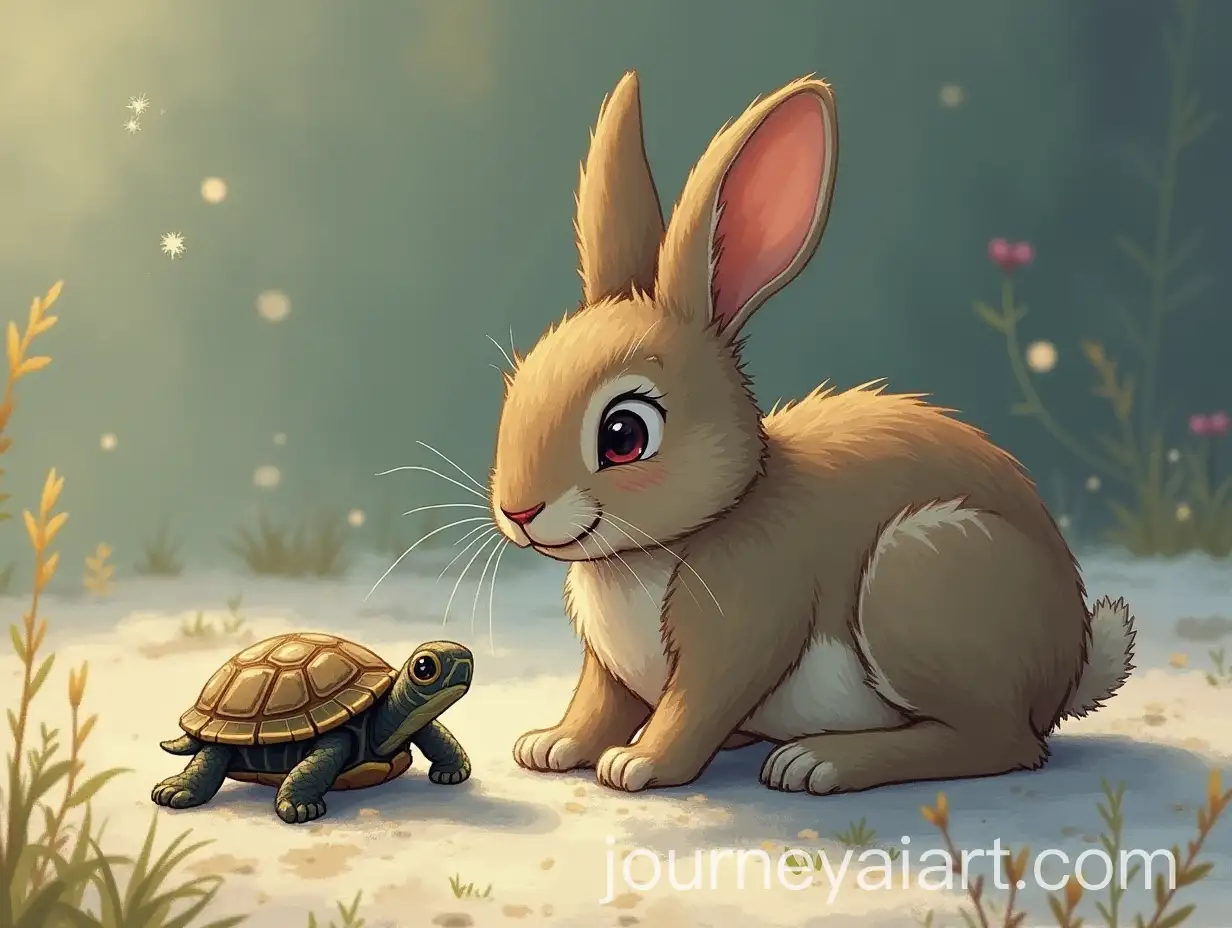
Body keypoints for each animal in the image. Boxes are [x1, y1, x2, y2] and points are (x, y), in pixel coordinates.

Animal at [488, 70, 1136, 796]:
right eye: (518, 386)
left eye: (624, 434)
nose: (518, 511)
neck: (669, 544)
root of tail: (1067, 666)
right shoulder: (607, 669)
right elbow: (597, 701)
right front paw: (552, 745)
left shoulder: (737, 636)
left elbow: (692, 710)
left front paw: (637, 764)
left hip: (919, 577)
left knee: (998, 741)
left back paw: (819, 760)